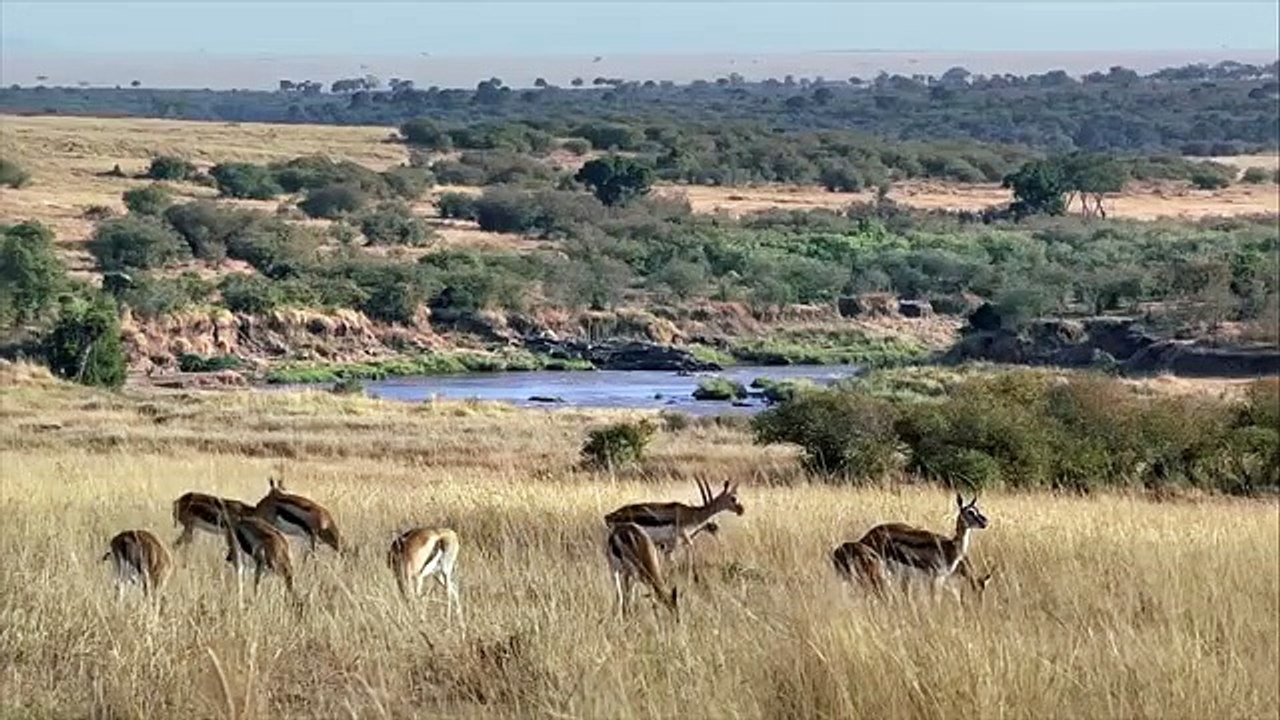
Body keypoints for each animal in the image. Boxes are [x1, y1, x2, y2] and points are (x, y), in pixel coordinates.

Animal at [604, 479, 743, 579]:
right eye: (733, 498)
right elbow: (678, 561)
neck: (690, 514)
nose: (741, 510)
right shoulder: (678, 541)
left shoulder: (670, 544)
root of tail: (608, 516)